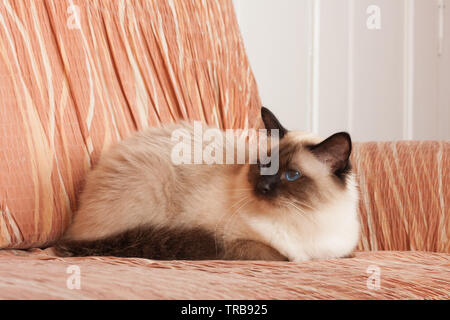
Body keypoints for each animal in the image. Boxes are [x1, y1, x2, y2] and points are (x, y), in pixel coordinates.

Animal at [55, 106, 358, 262]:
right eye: (263, 166)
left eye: (292, 175)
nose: (262, 188)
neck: (306, 217)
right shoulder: (236, 243)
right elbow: (282, 255)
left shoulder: (339, 253)